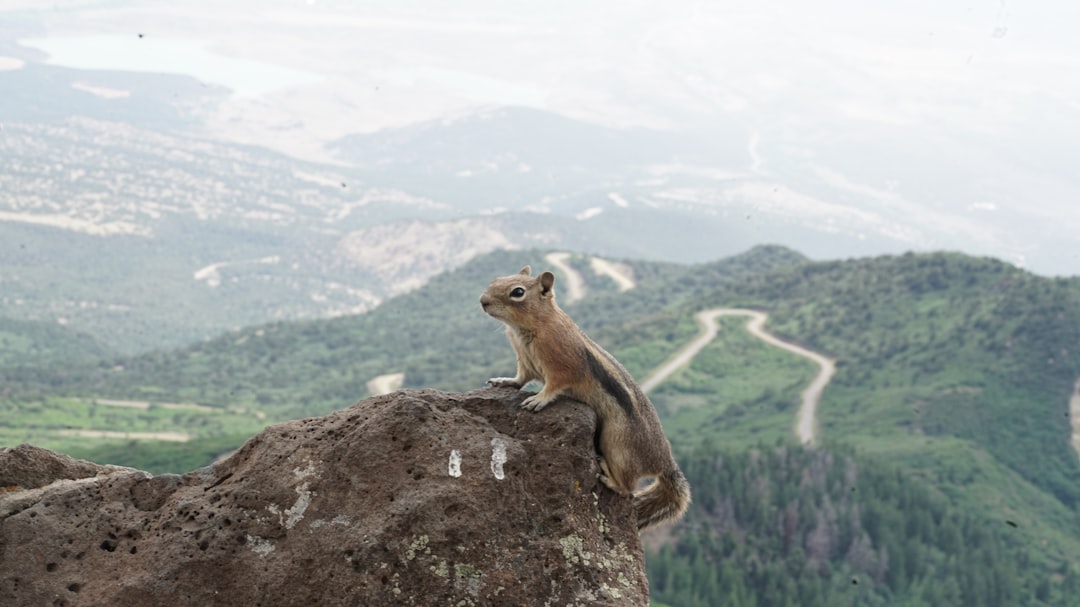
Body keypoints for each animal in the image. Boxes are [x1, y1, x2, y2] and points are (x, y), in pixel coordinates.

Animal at [481, 265, 691, 529]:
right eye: (496, 279)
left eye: (517, 292)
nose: (483, 301)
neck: (532, 326)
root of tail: (665, 463)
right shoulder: (525, 361)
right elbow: (520, 378)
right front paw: (504, 380)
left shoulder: (564, 366)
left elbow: (555, 385)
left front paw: (539, 399)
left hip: (617, 444)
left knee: (628, 488)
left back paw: (610, 479)